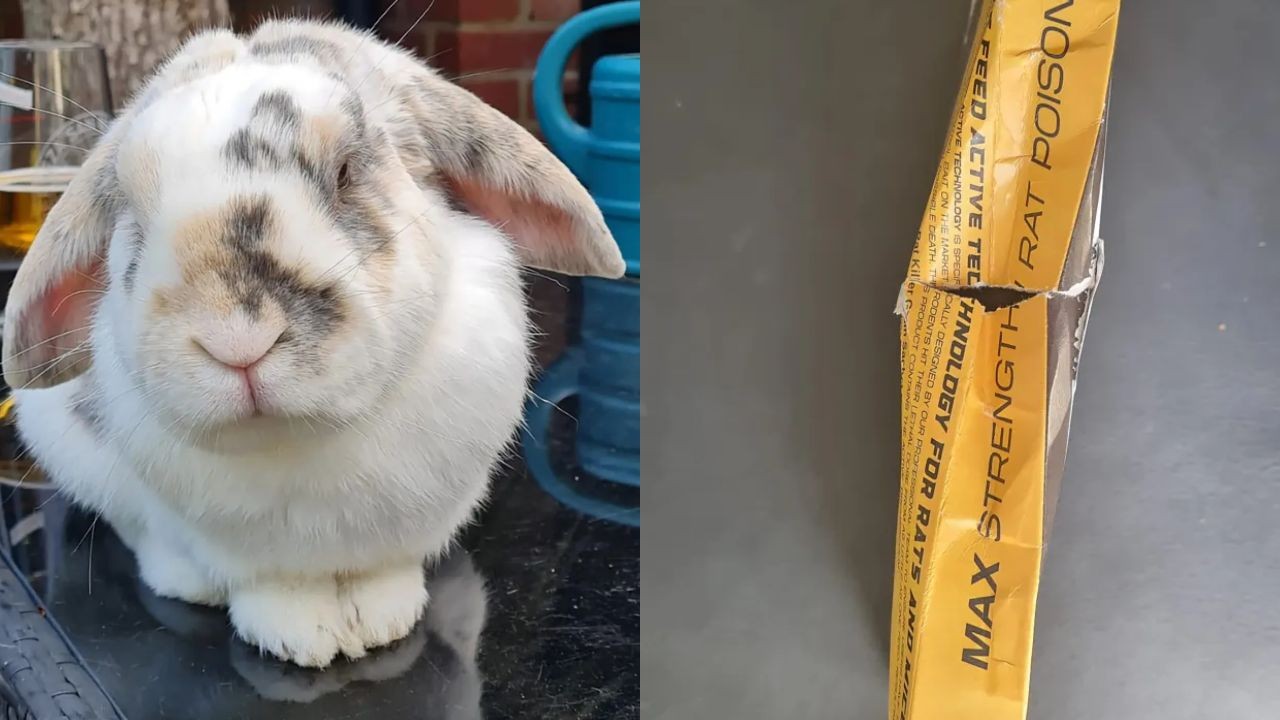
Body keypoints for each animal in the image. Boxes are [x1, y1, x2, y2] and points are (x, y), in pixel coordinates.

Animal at [2, 19, 622, 668]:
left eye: (346, 172)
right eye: (133, 219)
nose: (237, 337)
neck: (301, 442)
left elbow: (384, 574)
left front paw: (382, 619)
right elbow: (269, 589)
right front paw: (303, 636)